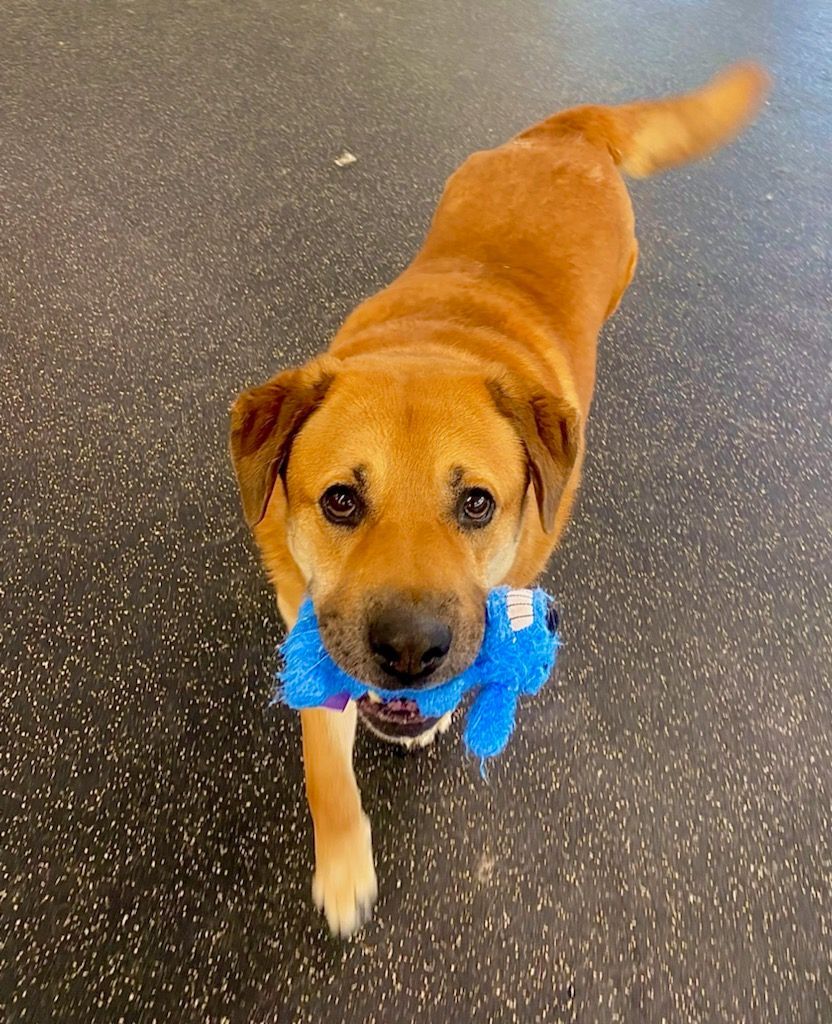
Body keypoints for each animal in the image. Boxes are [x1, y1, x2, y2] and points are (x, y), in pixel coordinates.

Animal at [225, 58, 766, 937]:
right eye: (340, 501)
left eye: (478, 504)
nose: (410, 653)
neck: (434, 343)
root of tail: (568, 134)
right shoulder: (309, 634)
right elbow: (324, 777)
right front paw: (342, 869)